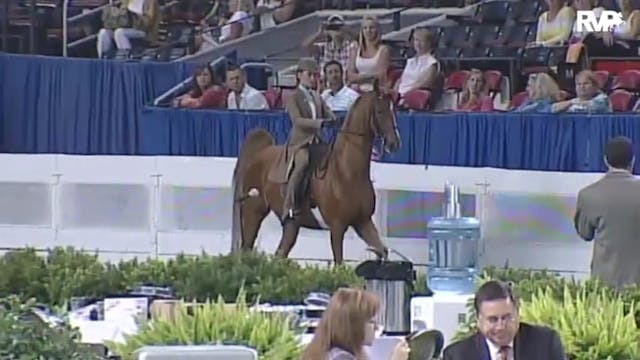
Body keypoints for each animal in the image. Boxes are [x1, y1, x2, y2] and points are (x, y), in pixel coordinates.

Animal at [230, 86, 400, 262]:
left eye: (393, 110)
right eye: (380, 111)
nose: (394, 143)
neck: (347, 172)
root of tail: (261, 151)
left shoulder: (363, 221)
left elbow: (382, 250)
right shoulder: (337, 227)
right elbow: (339, 262)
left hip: (292, 224)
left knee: (279, 254)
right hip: (253, 212)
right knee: (246, 249)